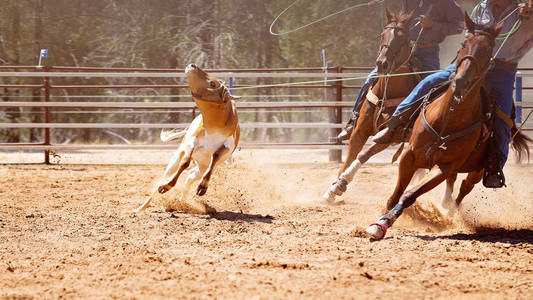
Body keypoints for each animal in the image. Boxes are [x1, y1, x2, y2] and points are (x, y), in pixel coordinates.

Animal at [135, 64, 239, 212]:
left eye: (213, 83)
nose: (192, 66)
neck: (214, 125)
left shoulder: (227, 146)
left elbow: (215, 157)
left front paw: (202, 187)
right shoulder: (192, 143)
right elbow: (185, 162)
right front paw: (166, 187)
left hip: (200, 169)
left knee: (189, 179)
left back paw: (182, 201)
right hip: (175, 160)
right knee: (166, 176)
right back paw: (142, 206)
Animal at [320, 10, 420, 205]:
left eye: (403, 39)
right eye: (383, 35)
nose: (382, 63)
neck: (386, 94)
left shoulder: (389, 136)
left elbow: (363, 155)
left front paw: (341, 184)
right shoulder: (359, 131)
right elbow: (349, 157)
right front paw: (332, 190)